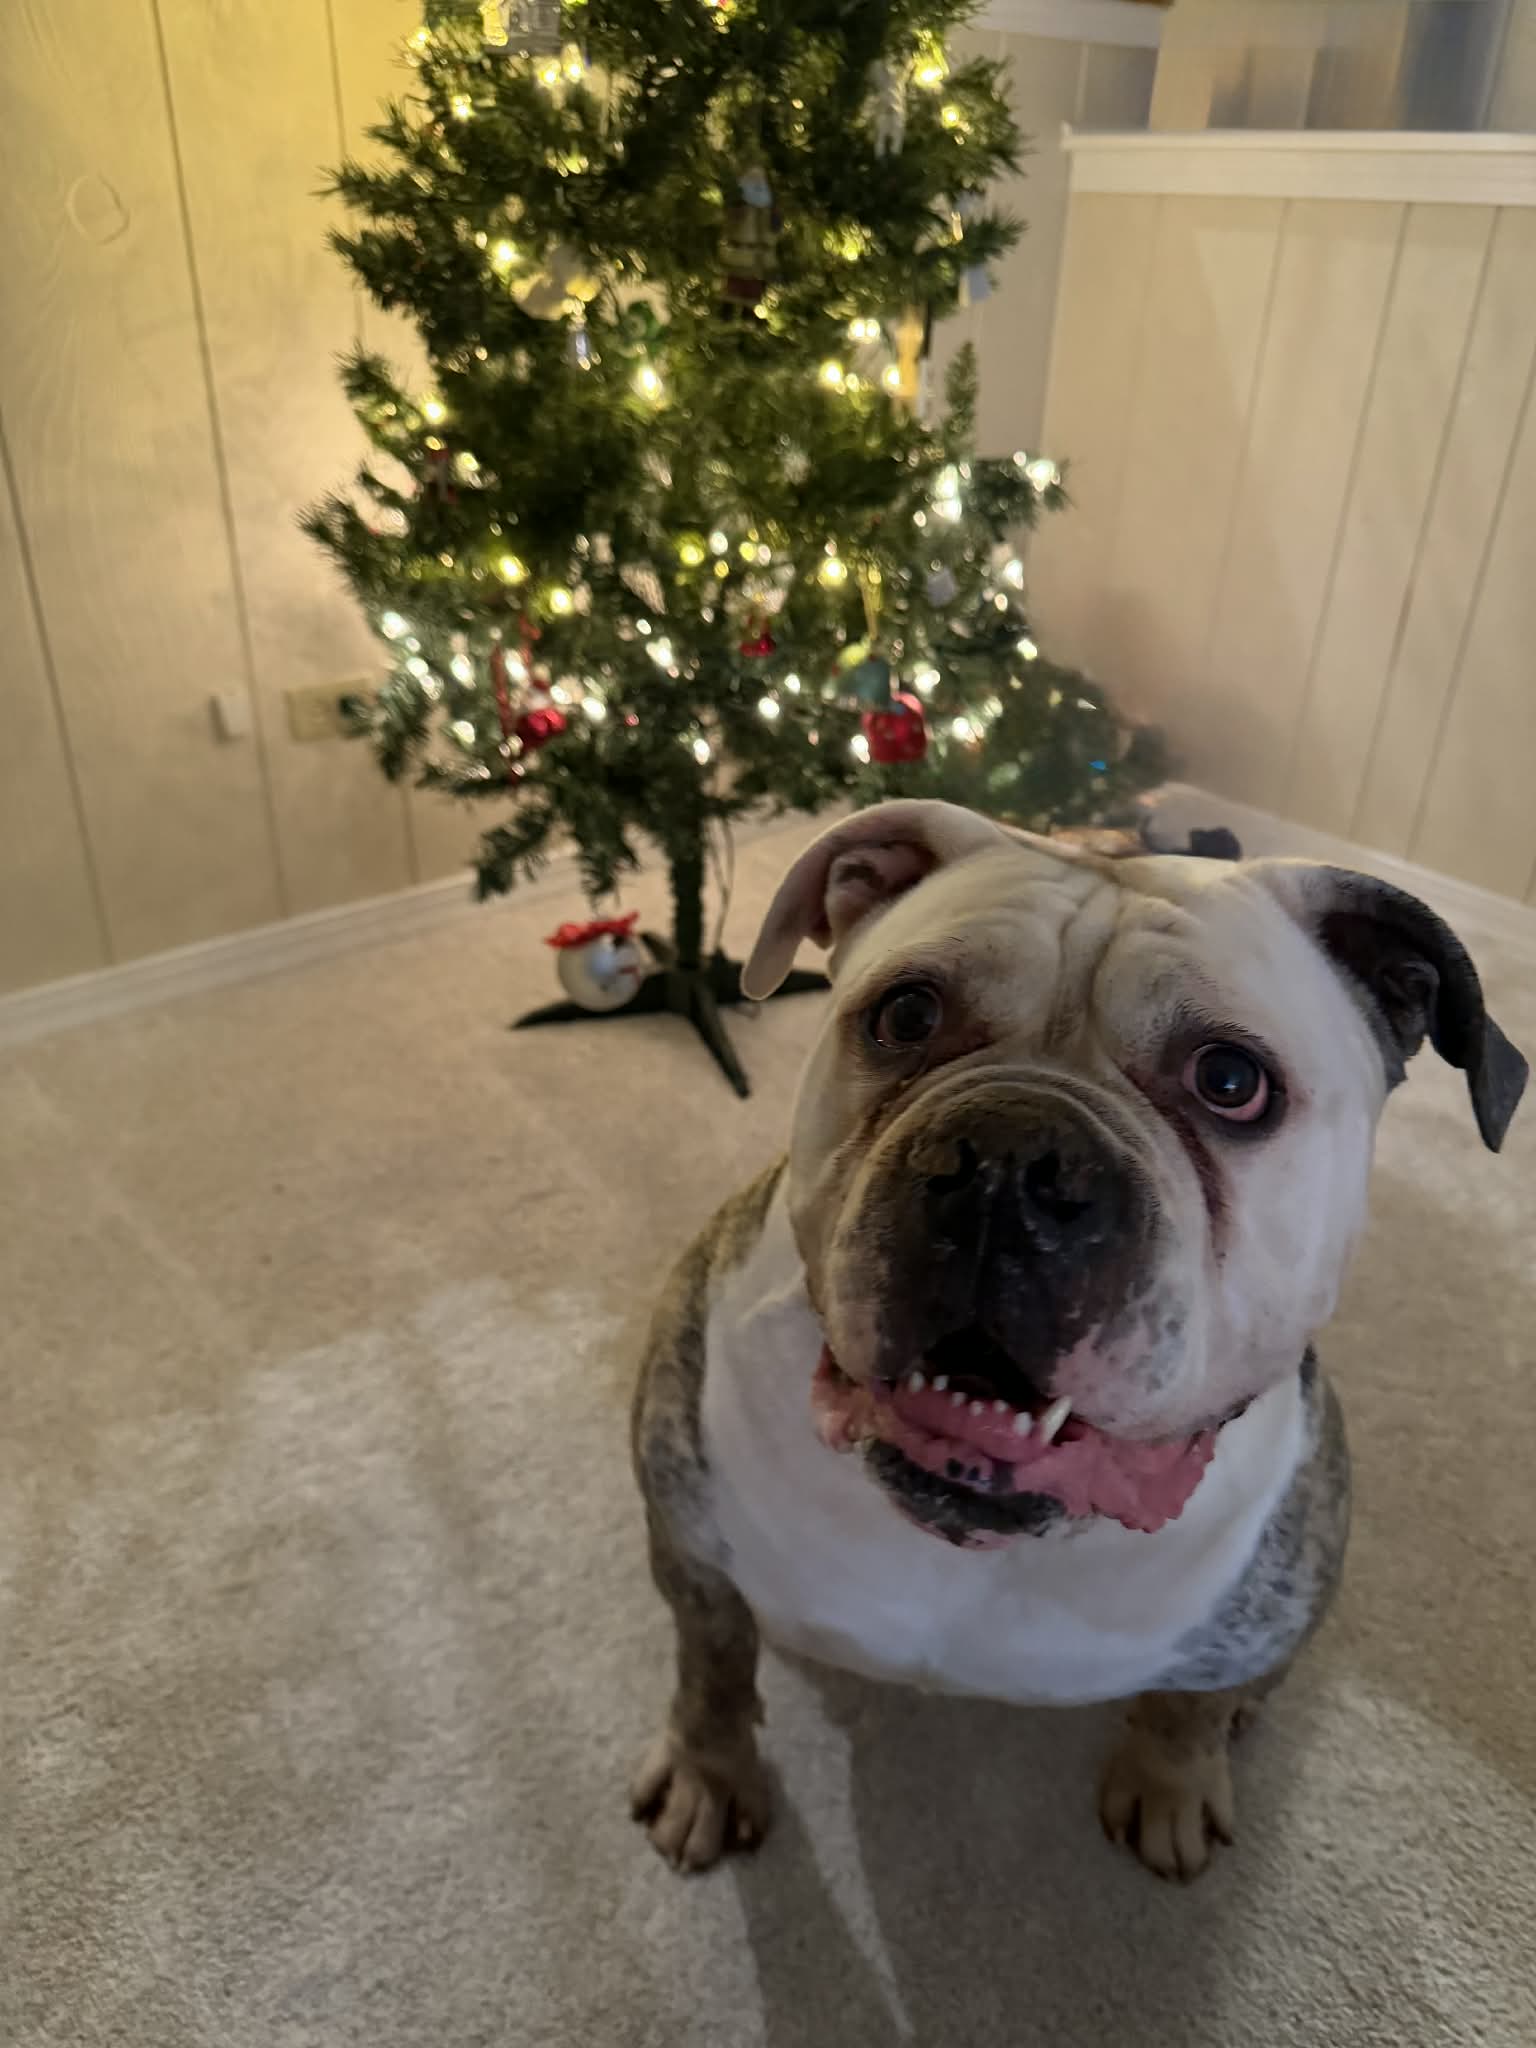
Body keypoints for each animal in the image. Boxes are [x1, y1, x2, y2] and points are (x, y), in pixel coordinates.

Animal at [629, 800, 1526, 1881]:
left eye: (1232, 1080)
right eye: (906, 1017)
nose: (1007, 1156)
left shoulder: (1247, 1618)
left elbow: (1187, 1710)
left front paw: (1171, 1786)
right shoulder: (692, 1543)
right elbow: (710, 1666)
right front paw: (709, 1773)